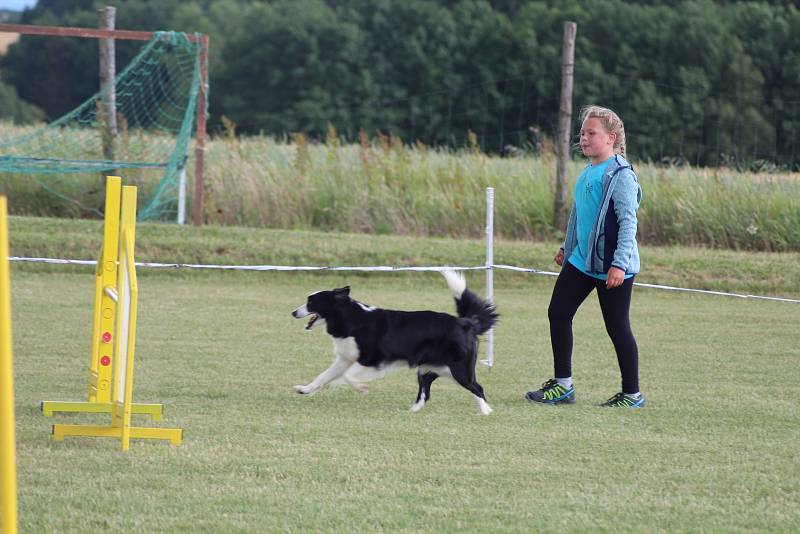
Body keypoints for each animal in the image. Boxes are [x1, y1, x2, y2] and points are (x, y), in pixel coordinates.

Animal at [290, 272, 496, 414]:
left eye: (310, 302)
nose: (293, 312)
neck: (350, 318)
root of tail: (465, 323)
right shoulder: (345, 358)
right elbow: (324, 376)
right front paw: (305, 389)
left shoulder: (373, 360)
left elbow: (347, 376)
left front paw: (361, 388)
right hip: (428, 369)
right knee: (426, 393)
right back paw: (411, 412)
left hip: (459, 369)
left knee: (478, 388)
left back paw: (486, 412)